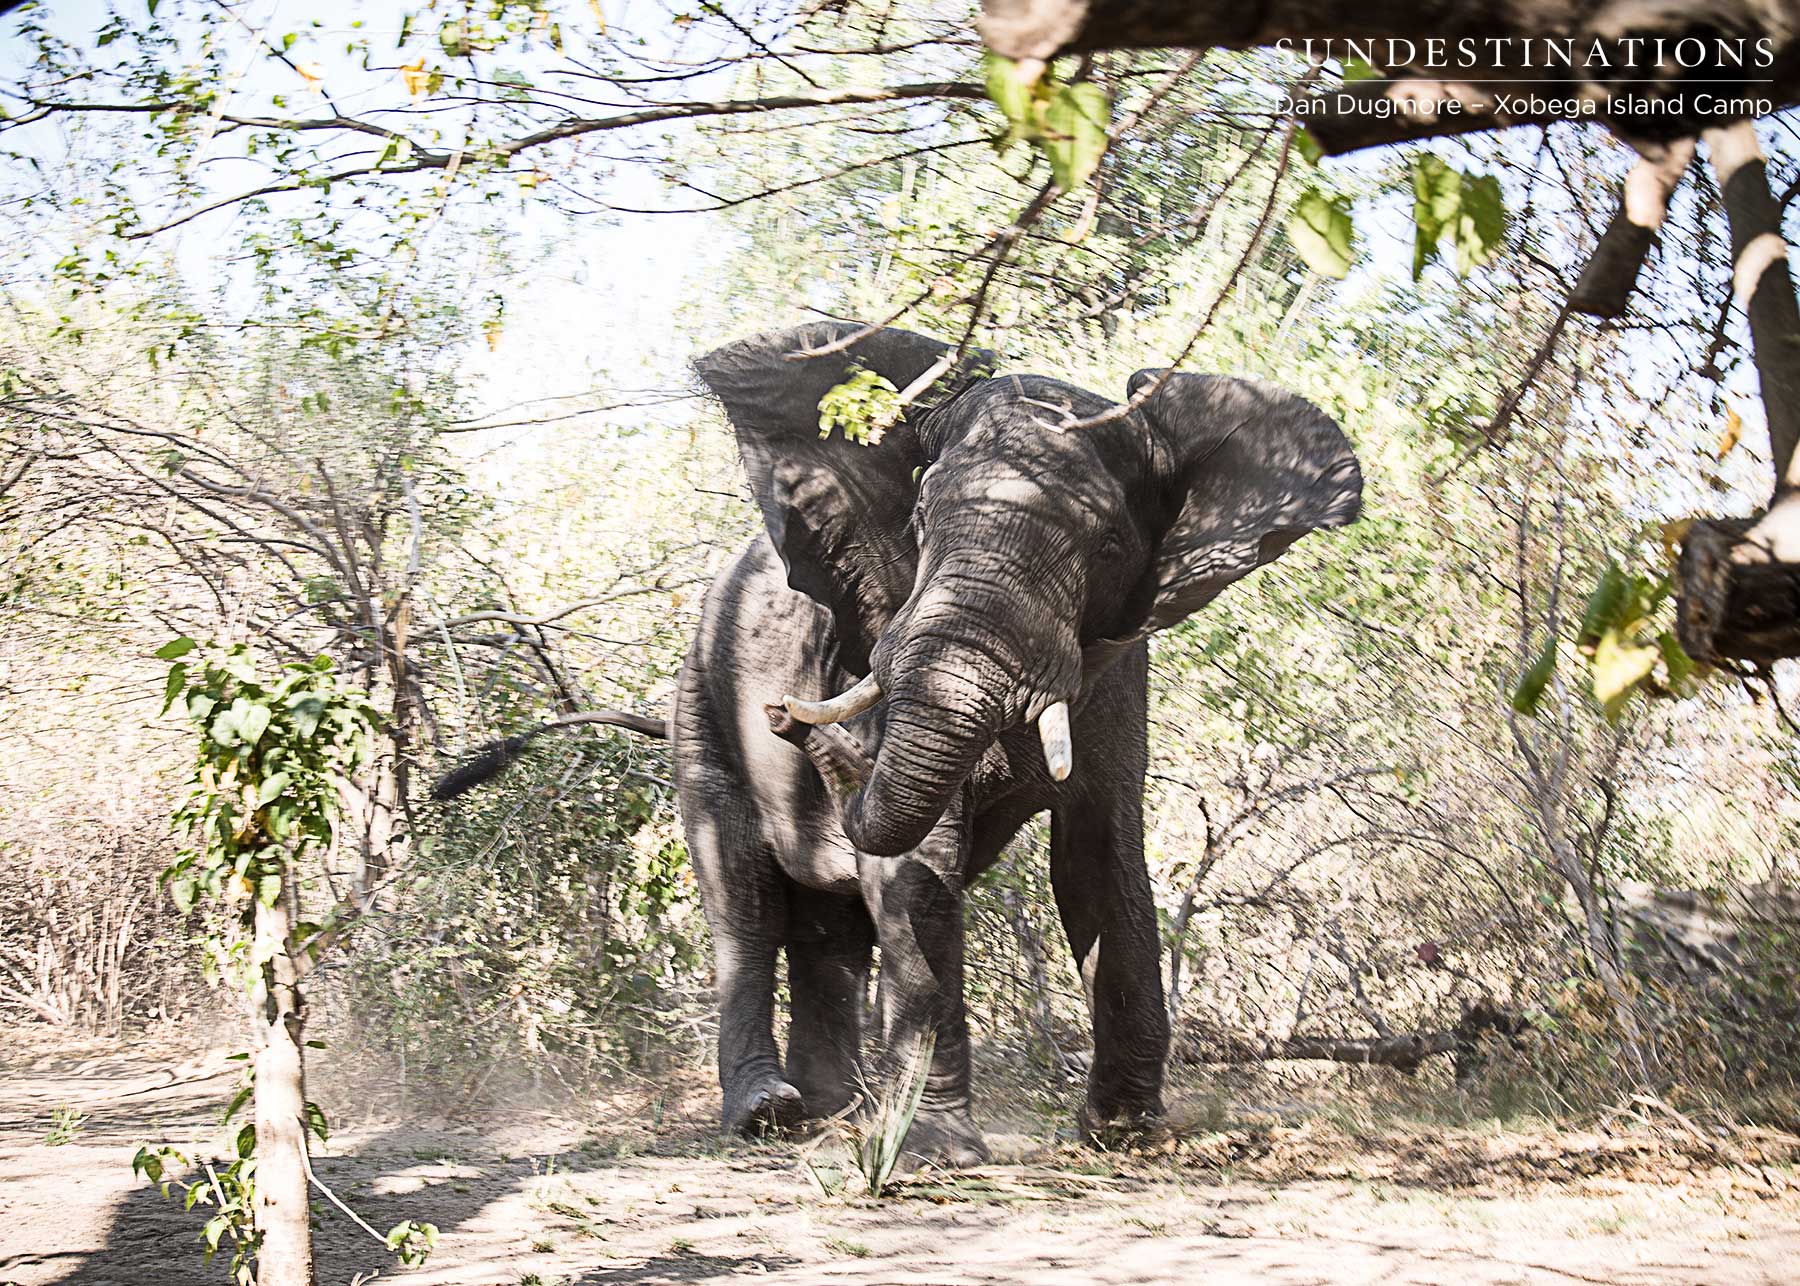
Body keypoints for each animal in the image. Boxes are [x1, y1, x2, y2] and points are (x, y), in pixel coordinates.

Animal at [673, 320, 1362, 1164]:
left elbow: (1101, 858)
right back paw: (767, 1113)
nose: (785, 719)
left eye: (1108, 546)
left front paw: (1122, 1133)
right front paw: (939, 1152)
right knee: (742, 898)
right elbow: (916, 871)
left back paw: (836, 1112)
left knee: (831, 926)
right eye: (919, 522)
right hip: (698, 700)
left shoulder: (1119, 666)